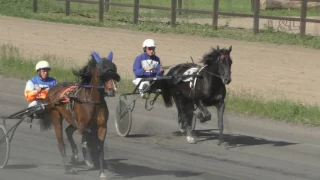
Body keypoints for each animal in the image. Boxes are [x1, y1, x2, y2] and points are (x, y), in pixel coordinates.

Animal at [38, 51, 120, 179]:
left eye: (114, 68)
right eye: (102, 69)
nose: (112, 89)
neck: (92, 101)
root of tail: (52, 89)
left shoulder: (102, 127)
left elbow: (100, 146)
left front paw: (102, 172)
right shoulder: (82, 125)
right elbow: (89, 136)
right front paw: (88, 156)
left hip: (71, 119)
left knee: (68, 131)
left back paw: (75, 155)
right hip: (56, 116)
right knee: (61, 142)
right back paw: (68, 167)